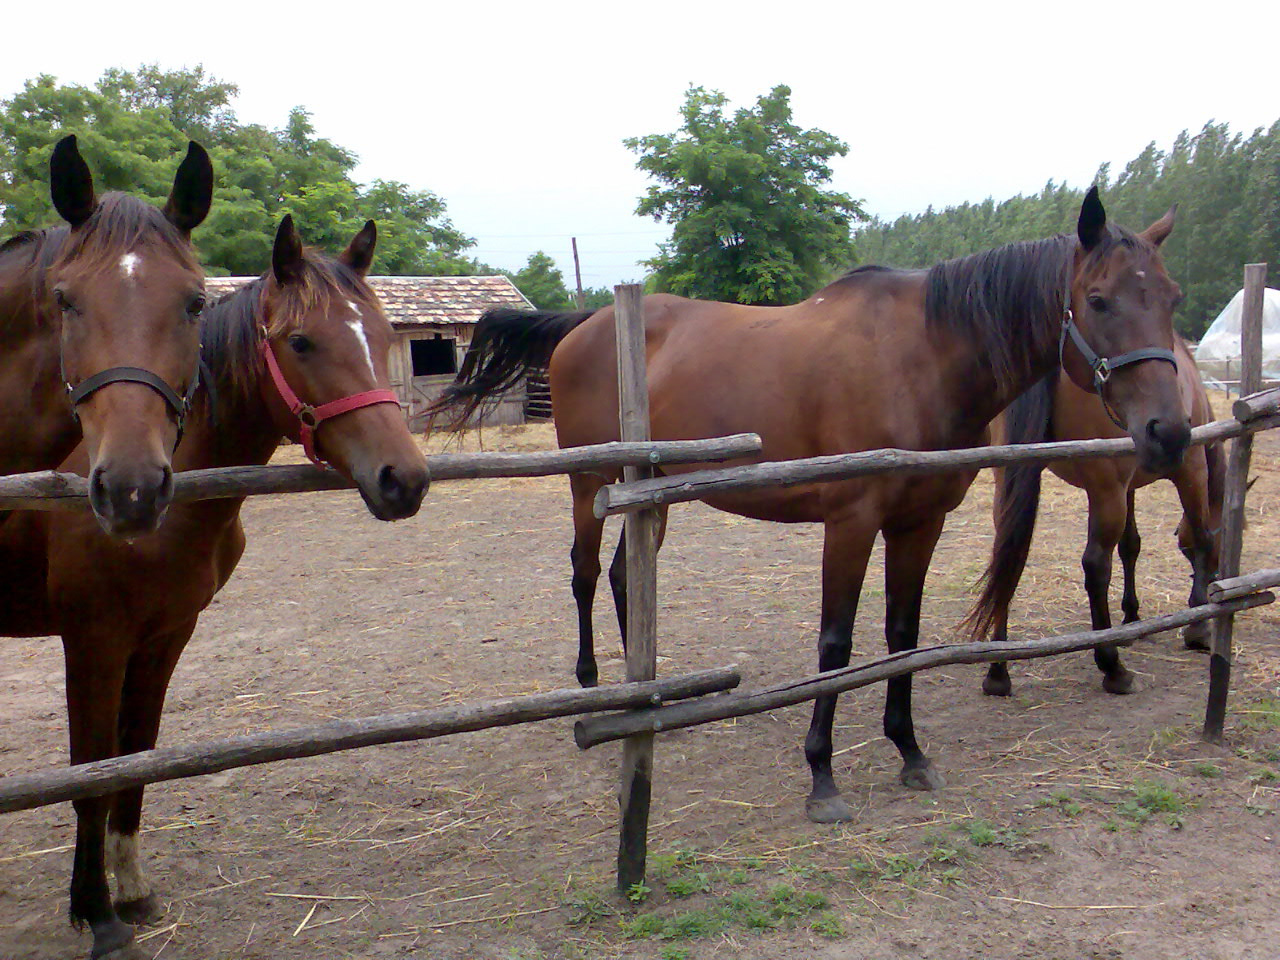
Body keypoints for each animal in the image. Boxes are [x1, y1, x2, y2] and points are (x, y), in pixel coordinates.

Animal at [0, 217, 430, 960]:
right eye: (301, 341)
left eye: (380, 334)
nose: (404, 479)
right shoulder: (93, 642)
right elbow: (90, 776)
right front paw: (98, 913)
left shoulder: (165, 636)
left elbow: (136, 761)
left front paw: (132, 890)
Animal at [424, 189, 1182, 829]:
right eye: (1099, 299)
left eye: (1171, 297)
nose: (1168, 432)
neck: (921, 358)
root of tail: (585, 326)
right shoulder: (850, 523)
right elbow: (836, 643)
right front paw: (822, 777)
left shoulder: (920, 524)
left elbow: (901, 635)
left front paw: (909, 751)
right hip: (590, 486)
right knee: (583, 575)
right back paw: (591, 688)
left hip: (651, 492)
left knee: (619, 577)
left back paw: (651, 696)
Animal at [962, 337, 1223, 701]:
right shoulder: (1191, 470)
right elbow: (1201, 537)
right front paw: (1198, 625)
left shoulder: (1129, 486)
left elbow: (1131, 546)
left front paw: (1131, 616)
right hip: (1106, 488)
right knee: (1096, 565)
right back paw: (1113, 669)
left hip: (1011, 476)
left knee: (1006, 558)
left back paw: (998, 670)